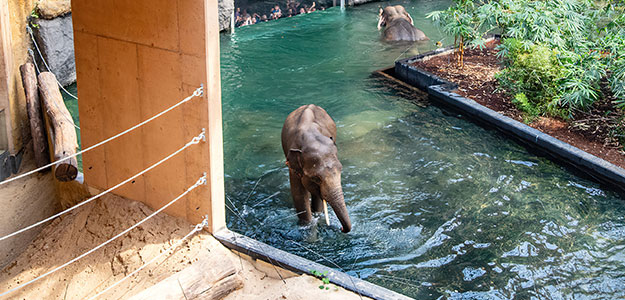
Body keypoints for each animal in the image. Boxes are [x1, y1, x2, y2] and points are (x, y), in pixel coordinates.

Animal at [282, 104, 352, 233]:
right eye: (316, 178)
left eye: (341, 170)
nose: (341, 228)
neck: (311, 137)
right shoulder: (292, 166)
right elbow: (299, 194)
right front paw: (308, 225)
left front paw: (317, 216)